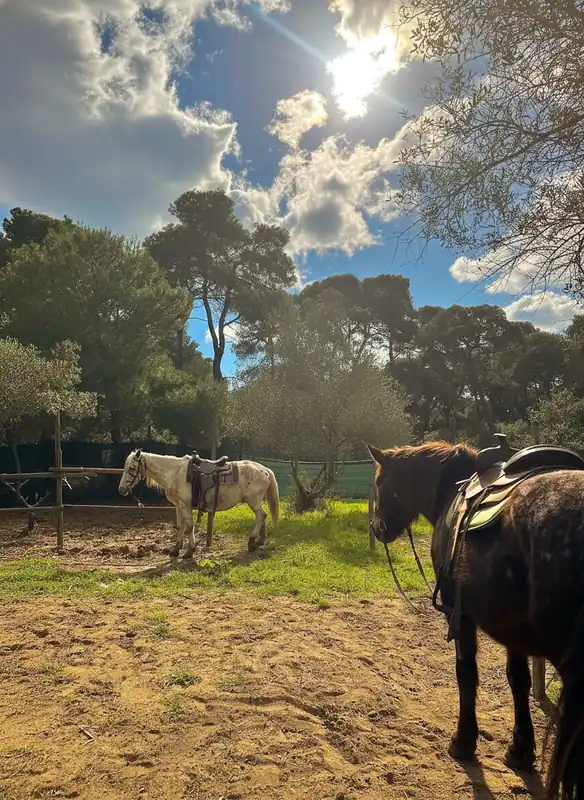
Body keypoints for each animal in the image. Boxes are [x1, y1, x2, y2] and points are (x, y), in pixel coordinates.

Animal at [118, 450, 280, 558]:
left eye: (132, 468)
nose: (121, 490)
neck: (175, 473)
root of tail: (265, 469)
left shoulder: (186, 506)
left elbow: (189, 527)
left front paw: (189, 551)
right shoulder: (178, 506)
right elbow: (179, 527)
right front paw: (175, 550)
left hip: (253, 501)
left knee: (261, 517)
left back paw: (252, 543)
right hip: (256, 502)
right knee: (263, 517)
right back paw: (259, 542)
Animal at [368, 440, 584, 799]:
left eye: (381, 481)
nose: (377, 527)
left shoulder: (461, 615)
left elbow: (466, 674)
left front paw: (463, 741)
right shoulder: (514, 630)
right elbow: (518, 680)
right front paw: (520, 750)